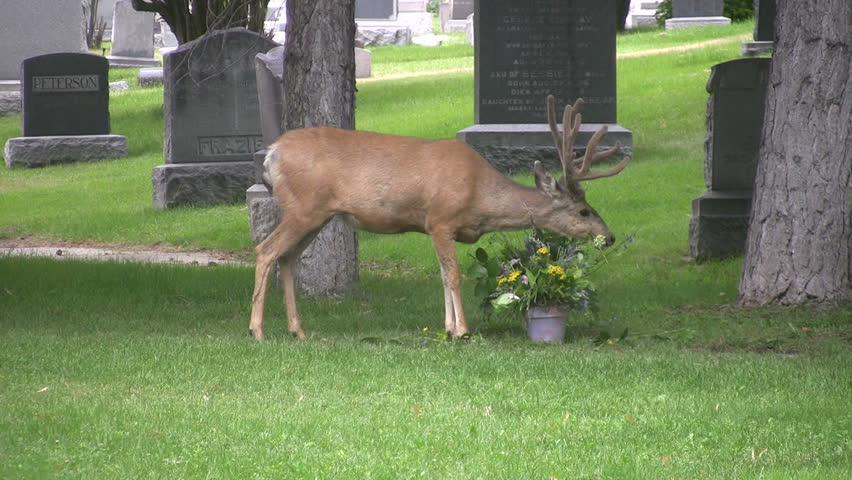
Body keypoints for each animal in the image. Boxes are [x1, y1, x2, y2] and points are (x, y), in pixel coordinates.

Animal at [249, 95, 630, 341]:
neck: (480, 195)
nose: (610, 236)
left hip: (317, 215)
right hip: (304, 206)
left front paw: (447, 328)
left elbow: (443, 277)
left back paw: (298, 330)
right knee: (266, 250)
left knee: (288, 258)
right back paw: (257, 330)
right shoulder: (441, 219)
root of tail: (271, 154)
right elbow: (454, 275)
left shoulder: (435, 227)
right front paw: (462, 330)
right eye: (583, 210)